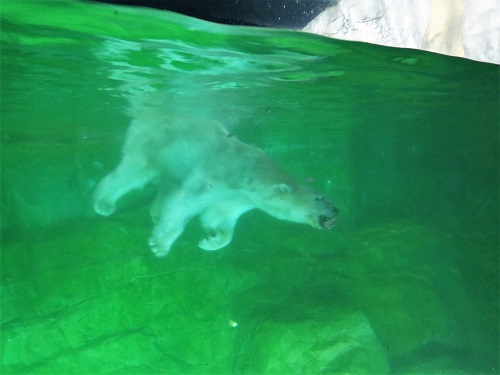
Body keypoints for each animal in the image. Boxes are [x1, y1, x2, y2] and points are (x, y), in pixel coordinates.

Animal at [93, 119, 336, 258]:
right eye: (318, 198)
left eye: (325, 196)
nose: (336, 211)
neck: (250, 174)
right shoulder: (213, 178)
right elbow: (182, 205)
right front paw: (160, 245)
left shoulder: (236, 199)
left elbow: (218, 217)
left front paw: (210, 241)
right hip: (152, 142)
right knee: (132, 173)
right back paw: (103, 203)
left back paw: (154, 211)